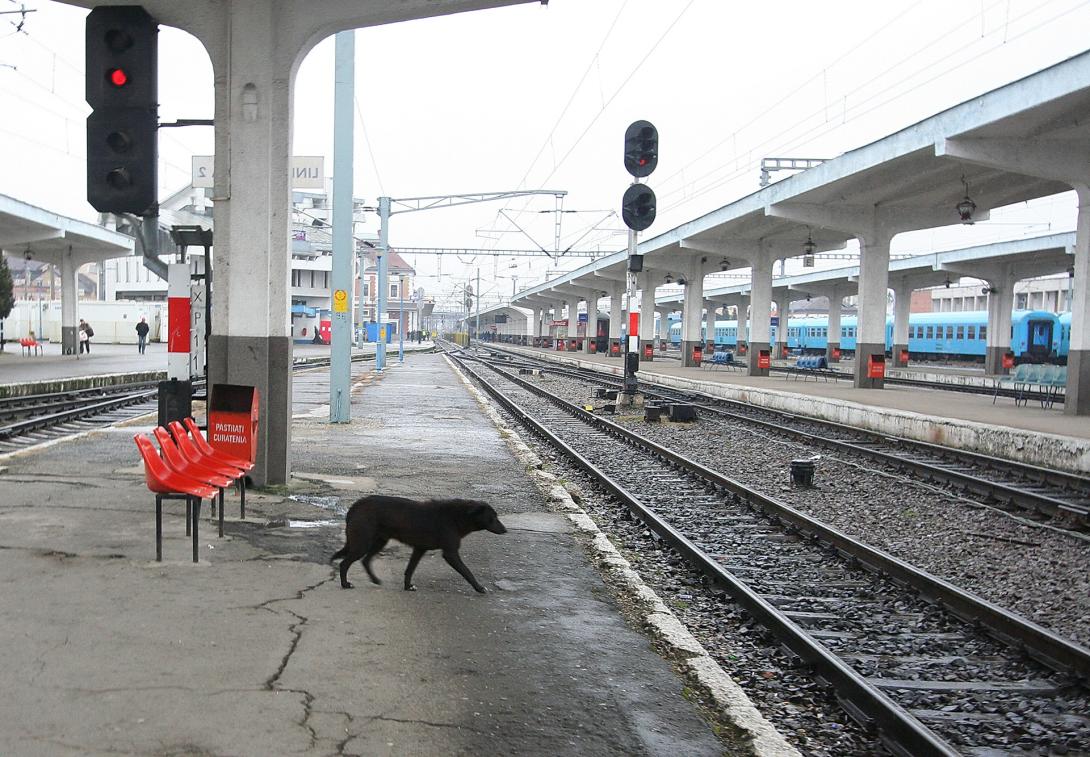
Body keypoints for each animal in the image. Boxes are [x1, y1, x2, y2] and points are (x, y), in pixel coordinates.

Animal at [327, 495, 505, 597]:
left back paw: (375, 580)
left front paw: (407, 586)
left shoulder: (419, 549)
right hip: (362, 543)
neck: (456, 517)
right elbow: (467, 572)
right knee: (344, 563)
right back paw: (345, 584)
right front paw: (480, 588)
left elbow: (409, 570)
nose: (505, 530)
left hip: (379, 541)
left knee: (365, 560)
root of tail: (355, 505)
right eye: (492, 517)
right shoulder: (450, 554)